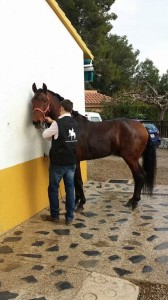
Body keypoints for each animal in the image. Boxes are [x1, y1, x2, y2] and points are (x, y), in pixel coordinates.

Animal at [31, 82, 156, 211]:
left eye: (45, 100)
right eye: (32, 101)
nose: (36, 122)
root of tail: (143, 127)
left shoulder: (75, 161)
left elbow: (78, 182)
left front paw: (80, 203)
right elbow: (75, 182)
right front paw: (77, 201)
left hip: (131, 158)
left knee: (139, 176)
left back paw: (134, 201)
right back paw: (132, 200)